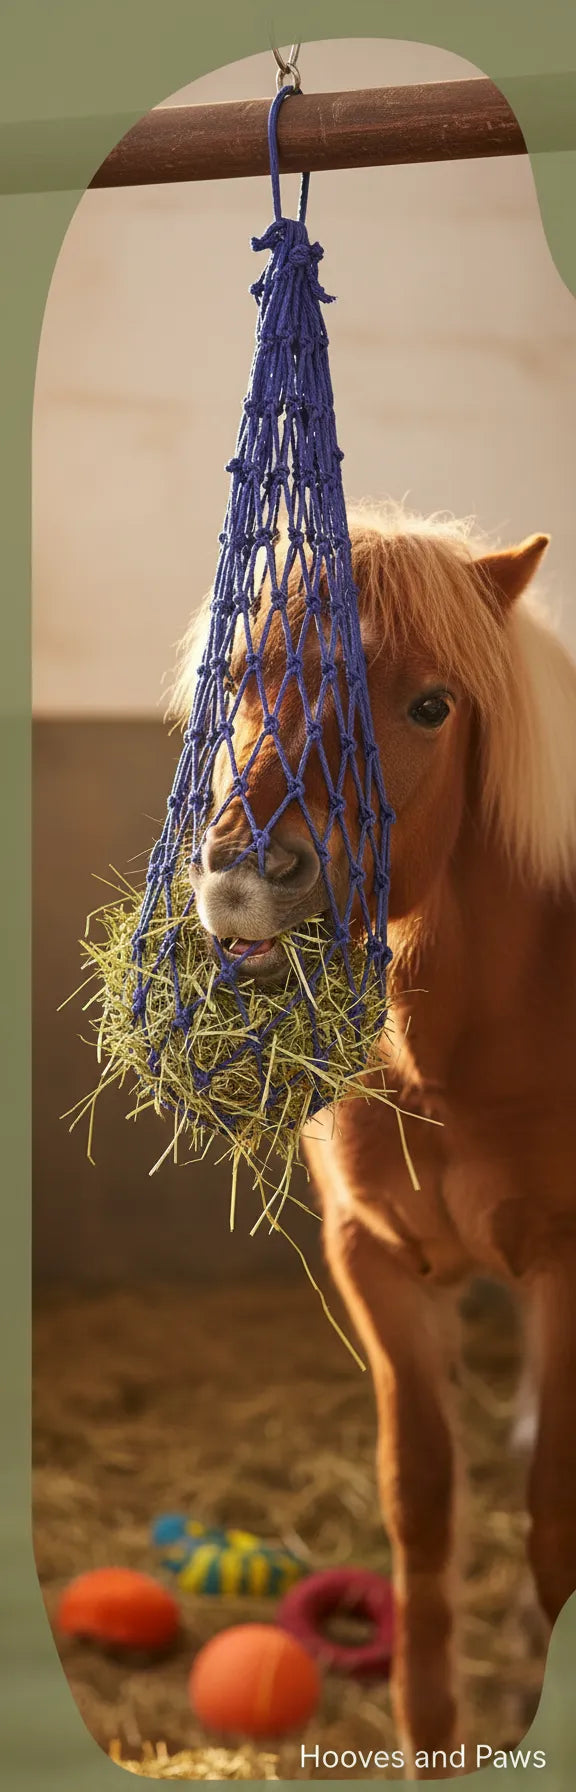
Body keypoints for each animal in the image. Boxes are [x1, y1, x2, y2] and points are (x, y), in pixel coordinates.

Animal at [178, 502, 576, 1776]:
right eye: (241, 677)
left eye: (432, 705)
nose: (249, 876)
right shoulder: (382, 1265)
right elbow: (423, 1502)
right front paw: (429, 1735)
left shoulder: (568, 1271)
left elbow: (552, 1508)